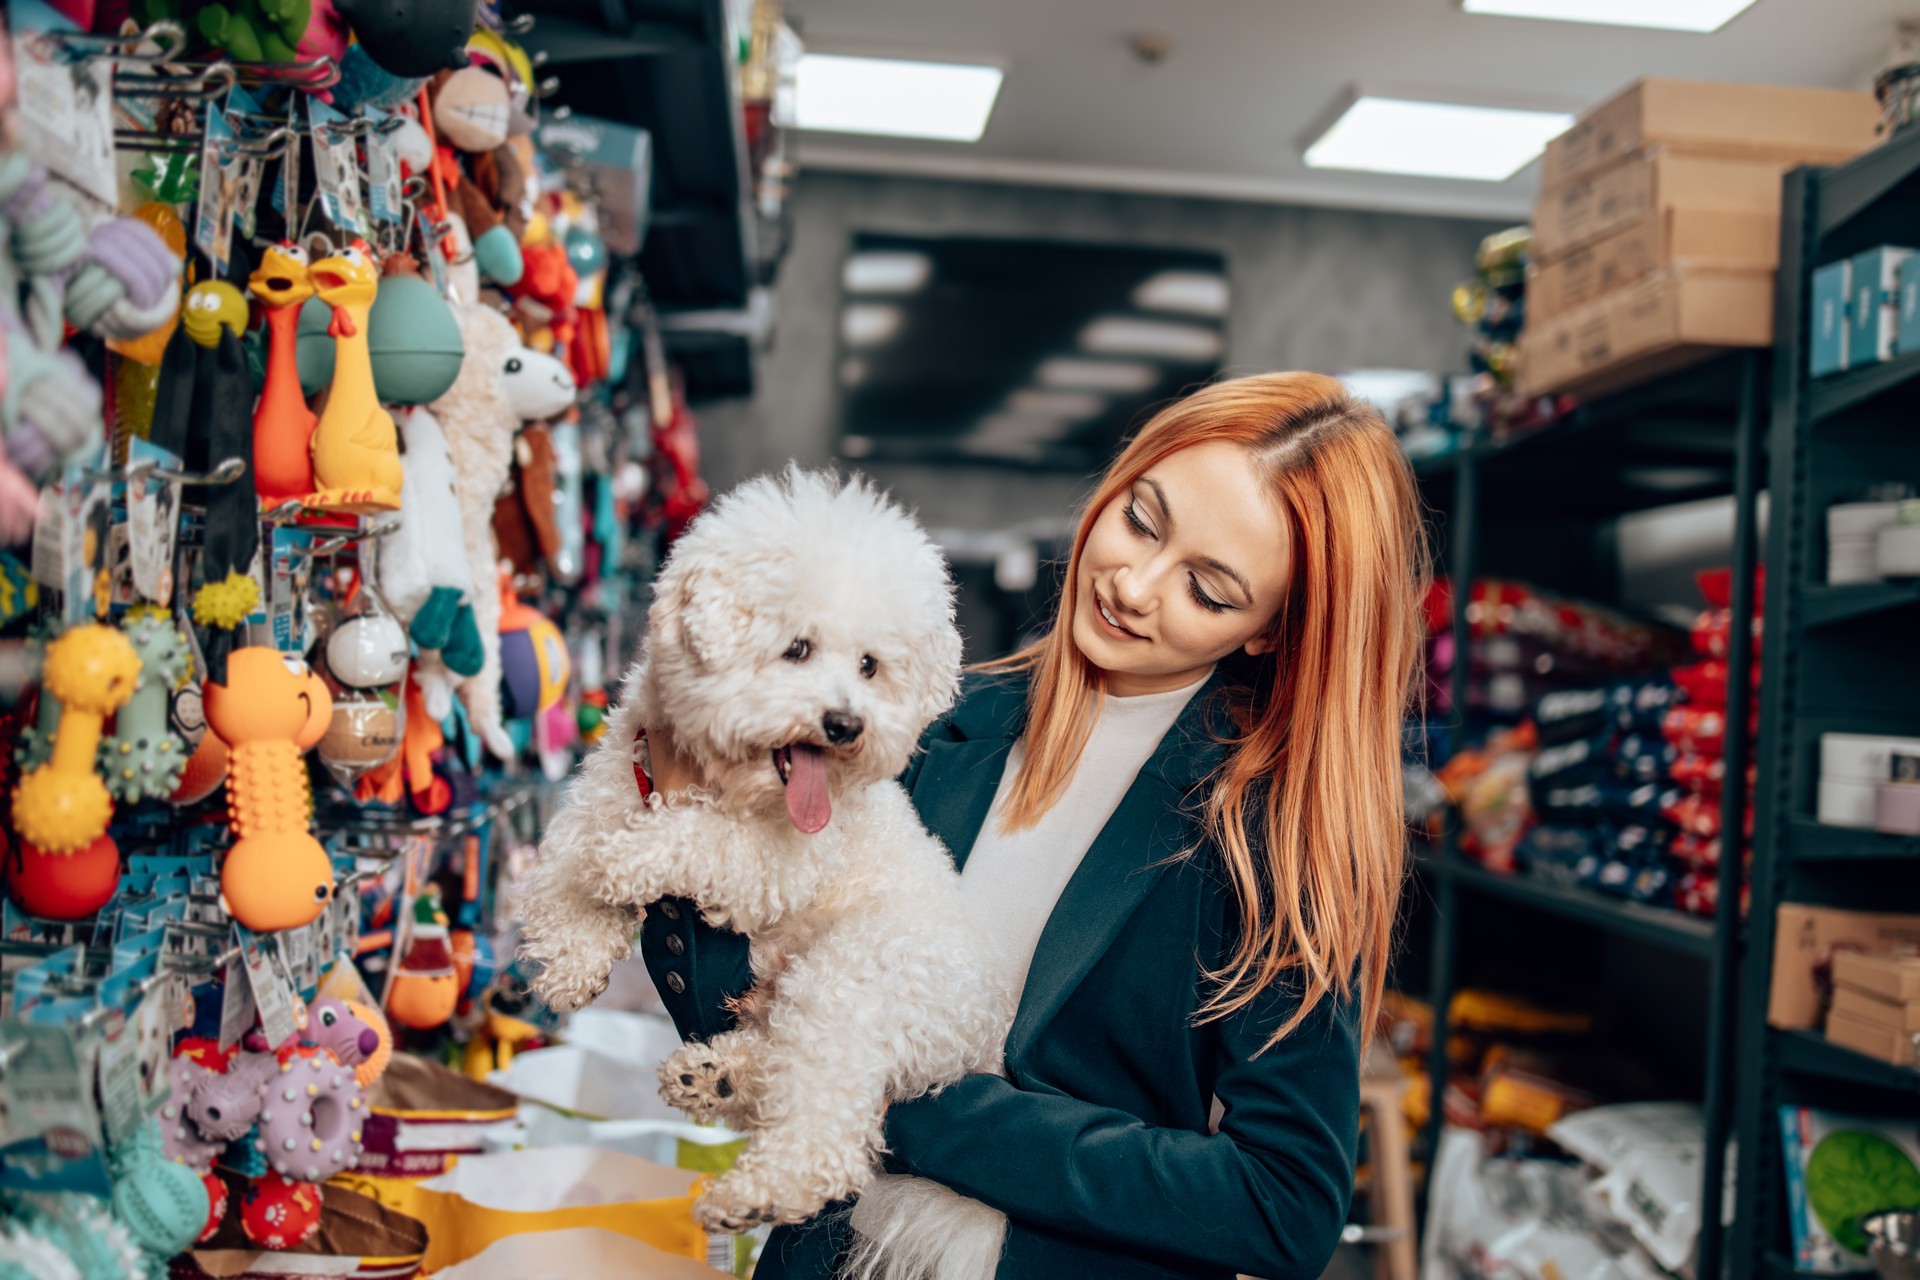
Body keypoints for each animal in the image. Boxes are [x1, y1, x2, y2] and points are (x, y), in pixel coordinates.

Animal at [518, 470, 1013, 1243]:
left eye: (870, 666)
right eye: (798, 648)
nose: (845, 725)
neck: (723, 779)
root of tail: (977, 1036)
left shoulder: (782, 864)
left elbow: (693, 841)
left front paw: (625, 864)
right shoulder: (608, 786)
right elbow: (566, 869)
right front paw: (571, 958)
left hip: (850, 984)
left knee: (824, 1124)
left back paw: (757, 1191)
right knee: (778, 1067)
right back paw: (710, 1075)